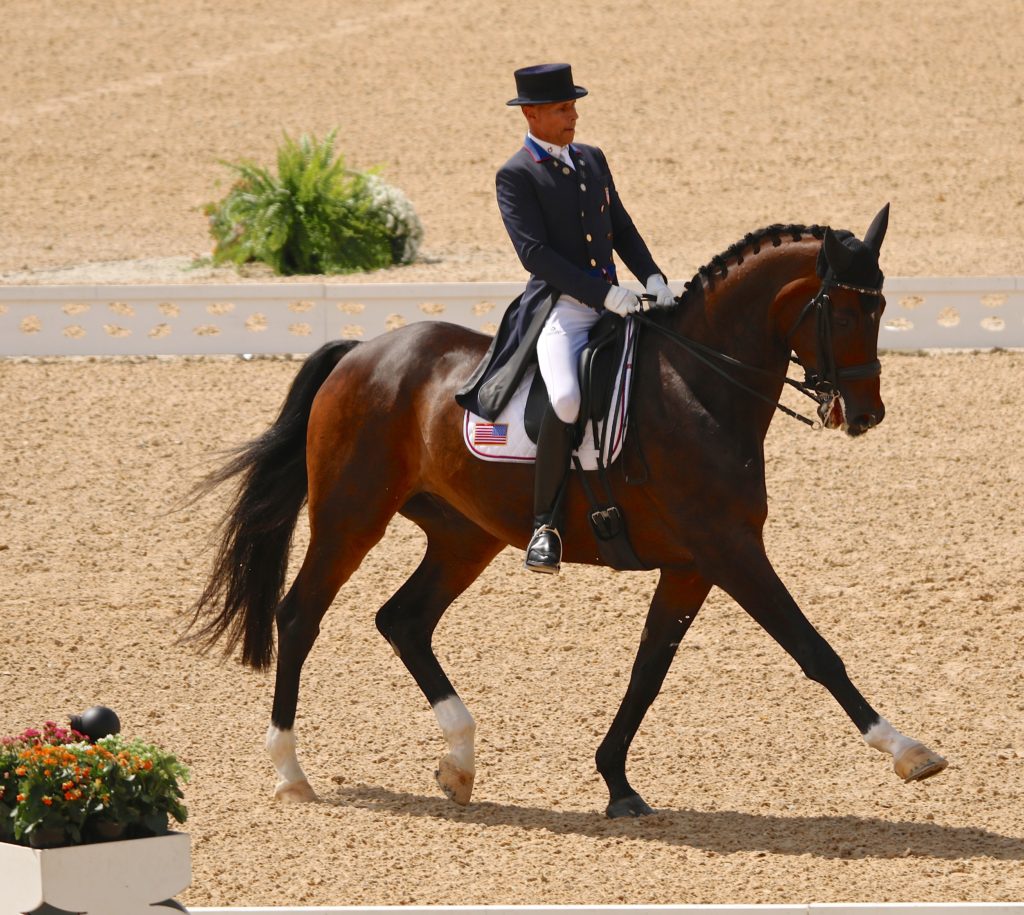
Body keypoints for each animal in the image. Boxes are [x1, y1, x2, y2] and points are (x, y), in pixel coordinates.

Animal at [182, 204, 942, 818]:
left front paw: (617, 783)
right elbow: (814, 649)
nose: (865, 414)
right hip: (351, 516)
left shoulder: (692, 566)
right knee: (299, 616)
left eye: (880, 308)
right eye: (843, 311)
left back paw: (459, 762)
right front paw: (907, 750)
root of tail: (362, 352)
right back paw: (290, 773)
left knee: (404, 620)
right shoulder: (730, 551)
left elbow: (648, 672)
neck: (697, 386)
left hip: (464, 536)